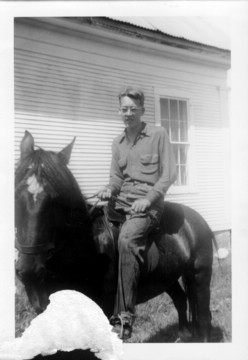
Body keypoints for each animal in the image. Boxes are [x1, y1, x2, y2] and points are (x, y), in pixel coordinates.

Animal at [15, 132, 213, 344]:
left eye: (55, 200)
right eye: (15, 195)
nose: (28, 271)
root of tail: (196, 218)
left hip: (200, 275)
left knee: (203, 315)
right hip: (168, 275)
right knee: (180, 299)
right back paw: (184, 335)